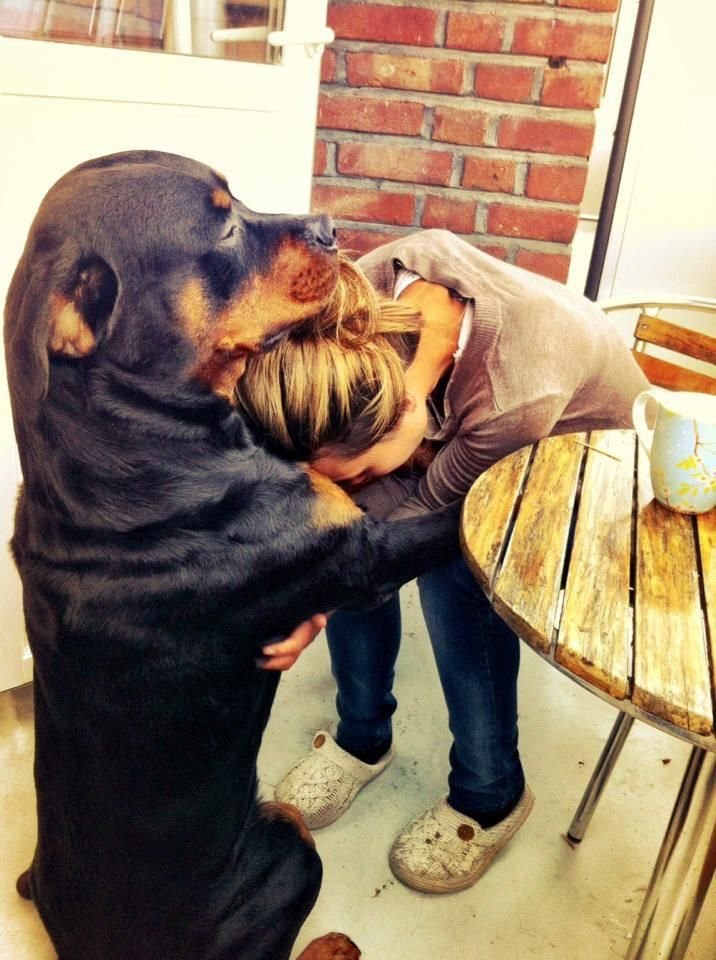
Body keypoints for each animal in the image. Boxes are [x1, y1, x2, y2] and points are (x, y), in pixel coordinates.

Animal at [4, 152, 458, 960]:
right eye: (222, 228)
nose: (329, 226)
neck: (142, 447)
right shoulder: (359, 555)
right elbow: (449, 518)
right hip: (286, 851)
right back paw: (335, 946)